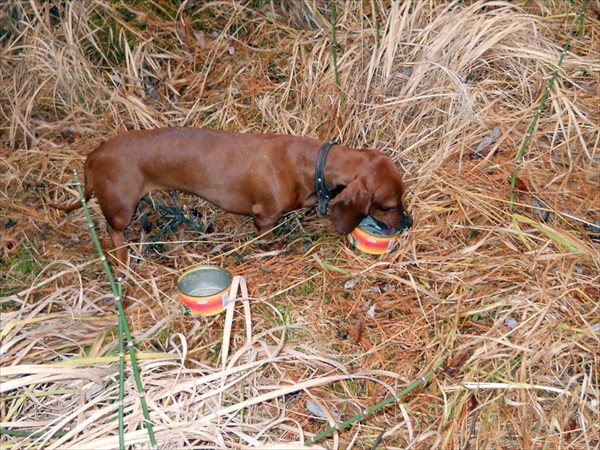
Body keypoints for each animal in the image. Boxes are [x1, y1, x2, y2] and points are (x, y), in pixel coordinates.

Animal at [52, 126, 412, 264]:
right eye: (388, 205)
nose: (408, 223)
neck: (314, 163)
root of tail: (96, 154)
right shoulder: (264, 216)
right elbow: (268, 238)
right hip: (121, 208)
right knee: (112, 229)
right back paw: (123, 255)